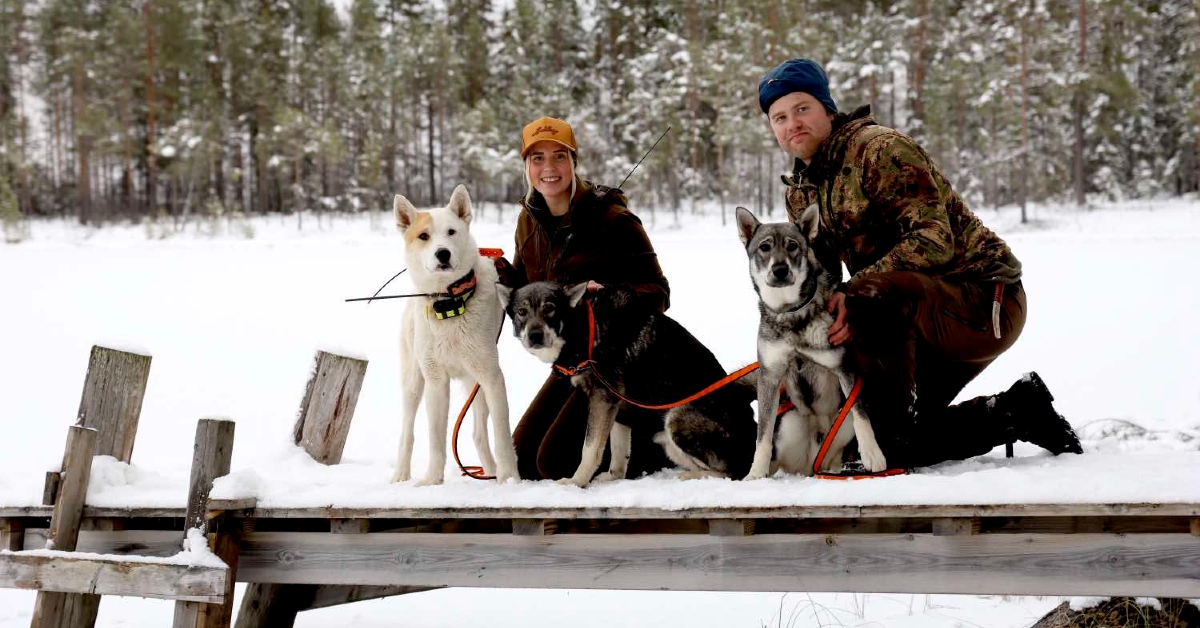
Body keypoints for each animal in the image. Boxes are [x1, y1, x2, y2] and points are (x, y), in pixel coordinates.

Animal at [393, 184, 516, 485]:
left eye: (451, 232)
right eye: (423, 236)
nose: (443, 254)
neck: (450, 303)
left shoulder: (492, 377)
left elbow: (502, 435)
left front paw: (510, 479)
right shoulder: (436, 382)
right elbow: (436, 439)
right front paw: (432, 481)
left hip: (477, 385)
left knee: (479, 433)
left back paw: (492, 472)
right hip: (413, 381)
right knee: (407, 433)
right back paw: (400, 475)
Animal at [494, 282, 753, 489]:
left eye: (550, 308)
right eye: (521, 312)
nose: (535, 336)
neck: (587, 330)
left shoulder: (602, 400)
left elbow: (590, 449)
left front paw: (577, 482)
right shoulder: (616, 407)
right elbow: (618, 451)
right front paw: (614, 477)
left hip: (675, 420)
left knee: (727, 473)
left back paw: (690, 477)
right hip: (667, 440)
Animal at [729, 205, 892, 477]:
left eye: (793, 245)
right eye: (764, 247)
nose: (780, 269)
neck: (791, 312)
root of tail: (811, 459)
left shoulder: (844, 368)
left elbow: (860, 413)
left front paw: (873, 454)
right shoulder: (770, 377)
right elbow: (762, 436)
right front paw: (755, 474)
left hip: (840, 424)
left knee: (834, 453)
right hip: (790, 423)